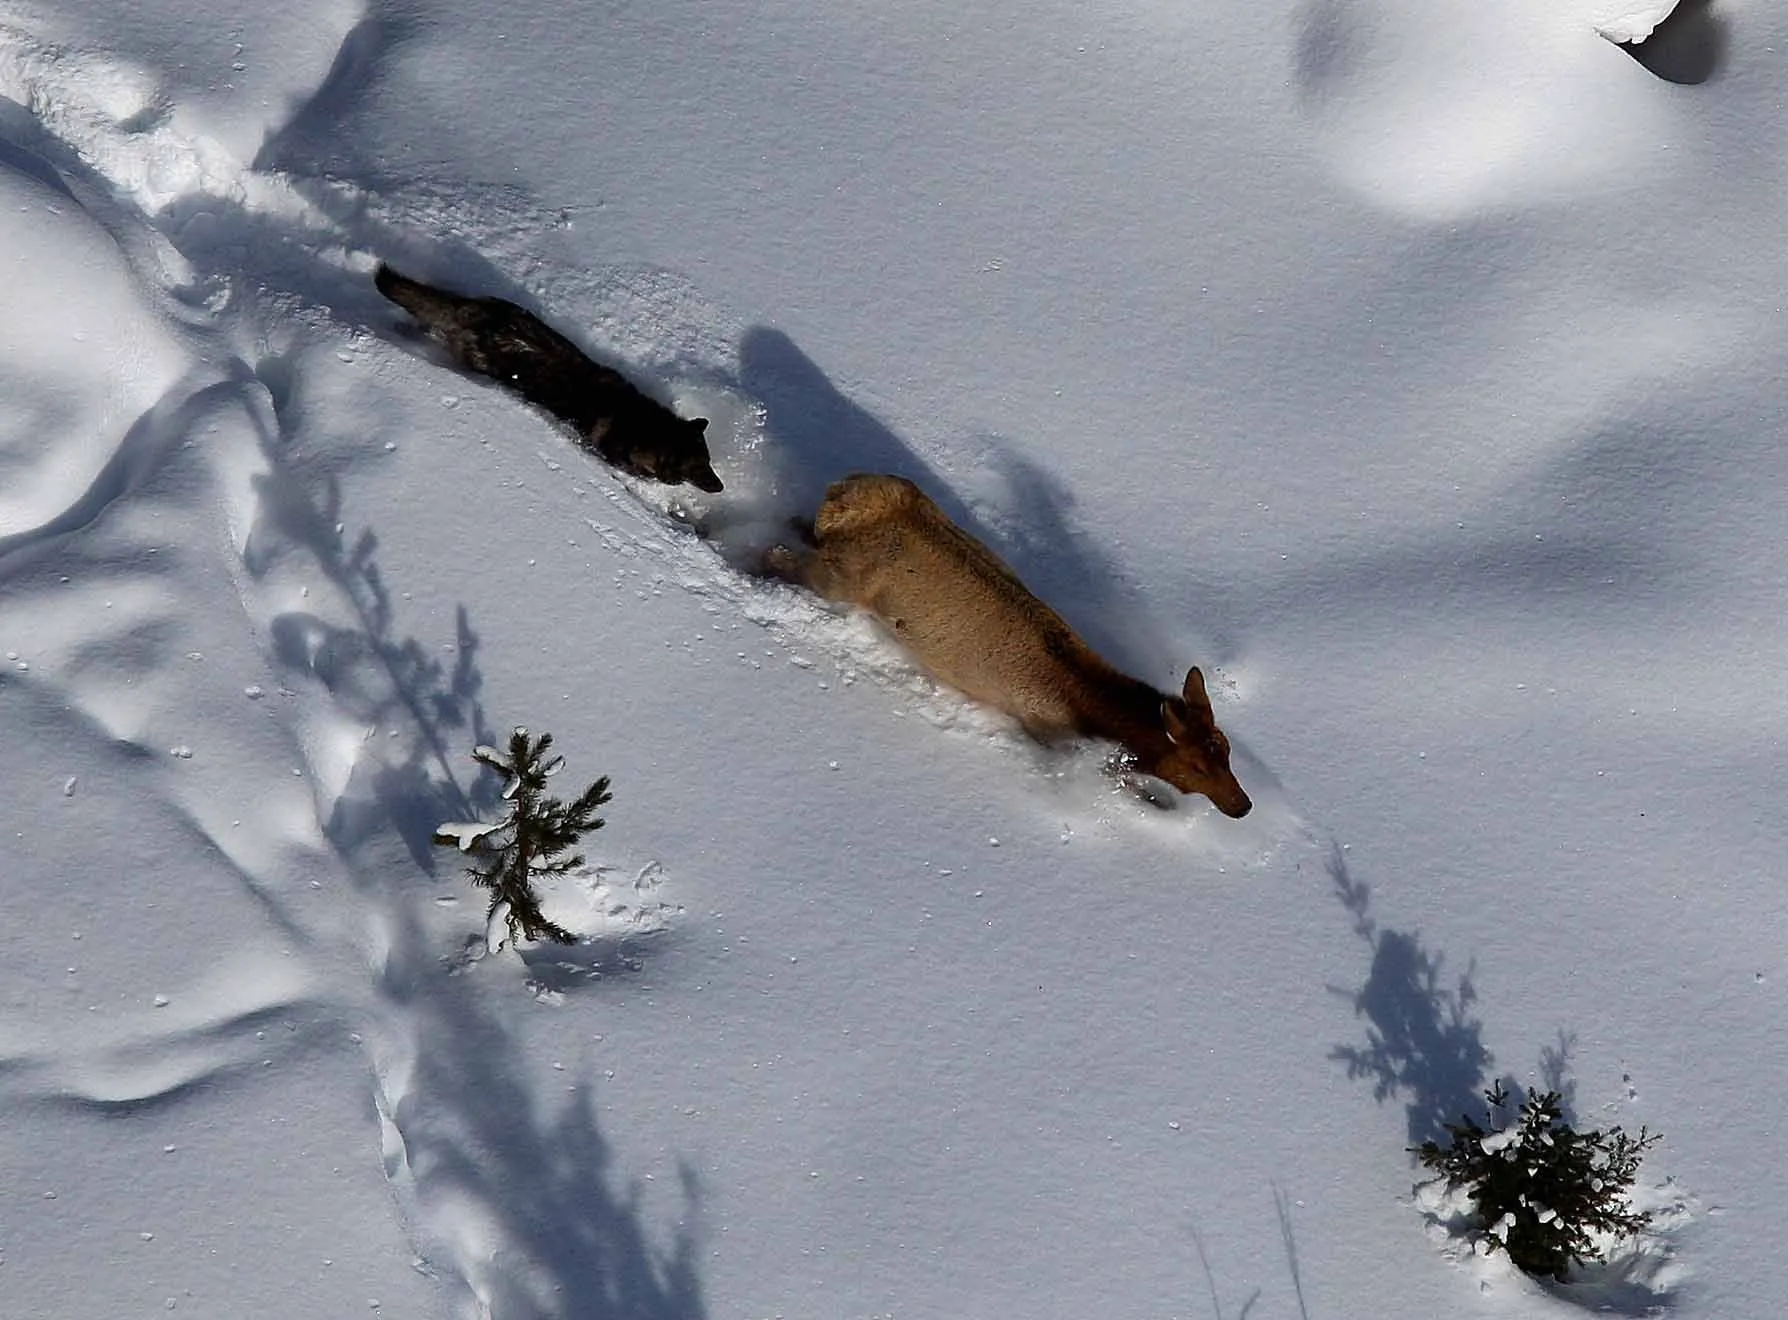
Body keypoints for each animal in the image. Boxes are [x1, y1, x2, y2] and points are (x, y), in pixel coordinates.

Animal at [764, 474, 1252, 817]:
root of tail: (846, 495)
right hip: (839, 578)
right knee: (779, 557)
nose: (1242, 805)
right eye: (1196, 765)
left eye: (1227, 750)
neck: (1092, 709)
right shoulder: (1046, 733)